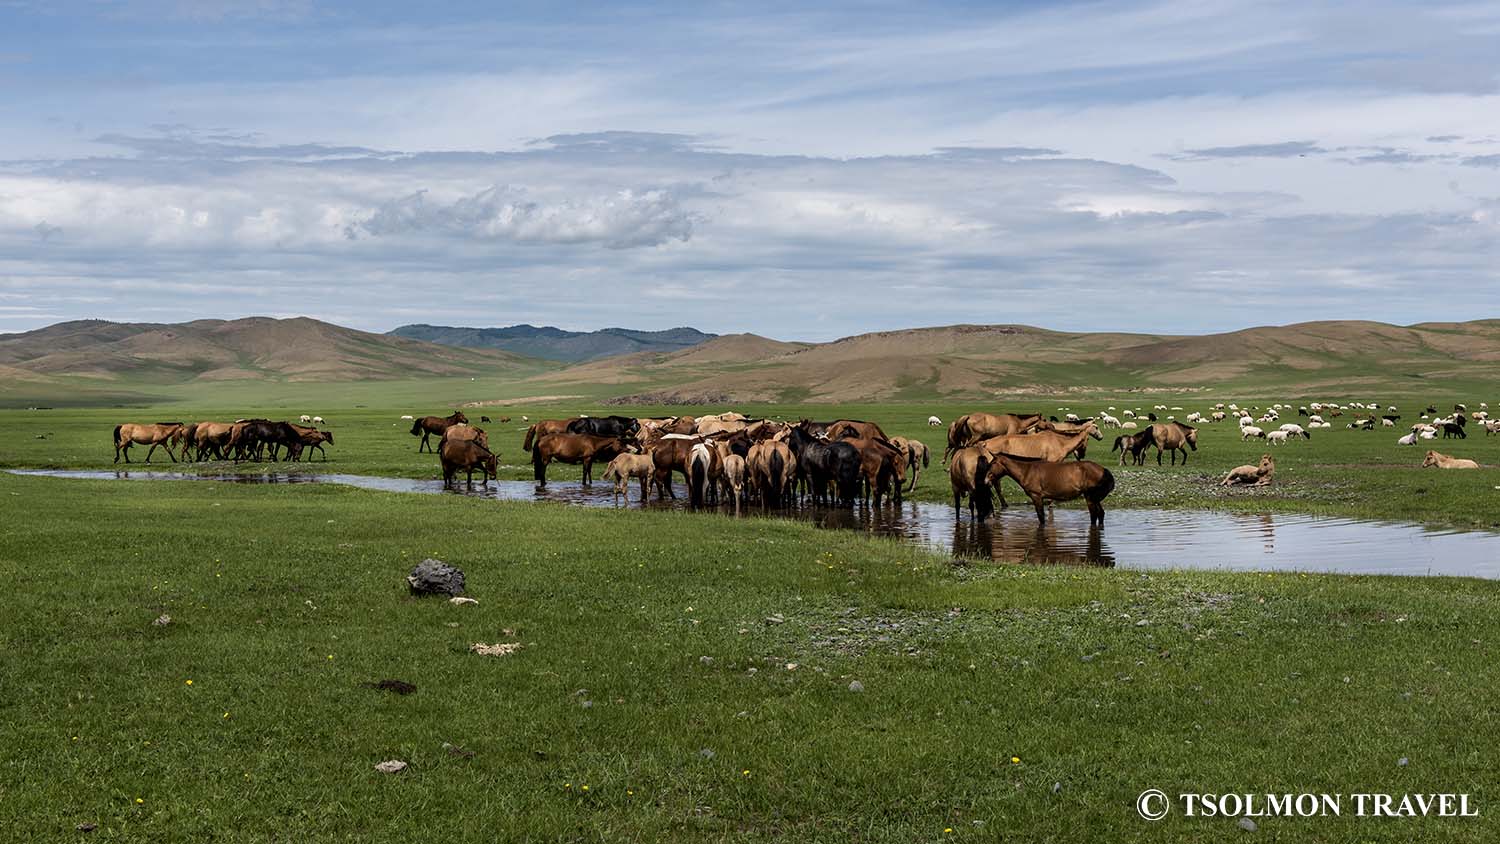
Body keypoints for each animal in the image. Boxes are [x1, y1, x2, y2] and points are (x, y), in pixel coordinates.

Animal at [984, 452, 1116, 524]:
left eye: (992, 463)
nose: (986, 480)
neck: (1027, 470)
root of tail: (1103, 470)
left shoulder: (1036, 497)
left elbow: (1041, 517)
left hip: (1090, 498)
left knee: (1094, 515)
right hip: (1094, 498)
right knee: (1100, 514)